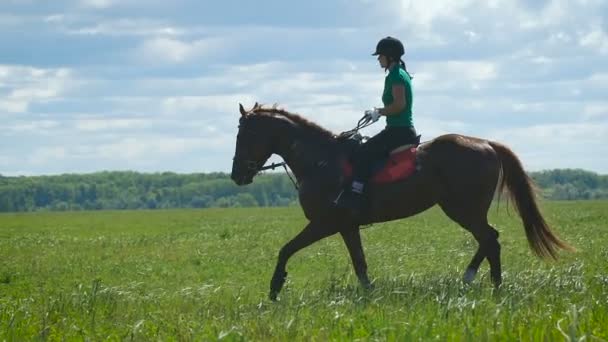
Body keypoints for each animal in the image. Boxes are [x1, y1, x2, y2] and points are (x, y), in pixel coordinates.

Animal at [230, 103, 572, 300]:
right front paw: (369, 296)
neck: (320, 161)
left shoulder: (325, 223)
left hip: (463, 209)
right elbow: (360, 263)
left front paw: (275, 288)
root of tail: (486, 144)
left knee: (490, 238)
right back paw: (482, 281)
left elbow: (286, 249)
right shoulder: (346, 226)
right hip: (464, 210)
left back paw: (486, 283)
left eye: (245, 135)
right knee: (489, 240)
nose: (237, 175)